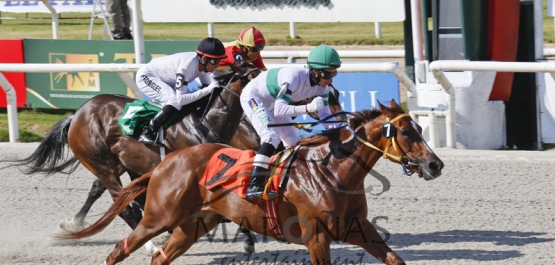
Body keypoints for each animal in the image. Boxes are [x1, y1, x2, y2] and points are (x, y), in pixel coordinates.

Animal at [60, 99, 444, 264]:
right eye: (407, 132)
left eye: (420, 128)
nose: (435, 164)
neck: (332, 171)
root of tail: (166, 162)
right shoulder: (316, 236)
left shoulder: (358, 228)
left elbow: (395, 260)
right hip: (160, 217)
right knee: (119, 248)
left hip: (194, 223)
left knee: (161, 258)